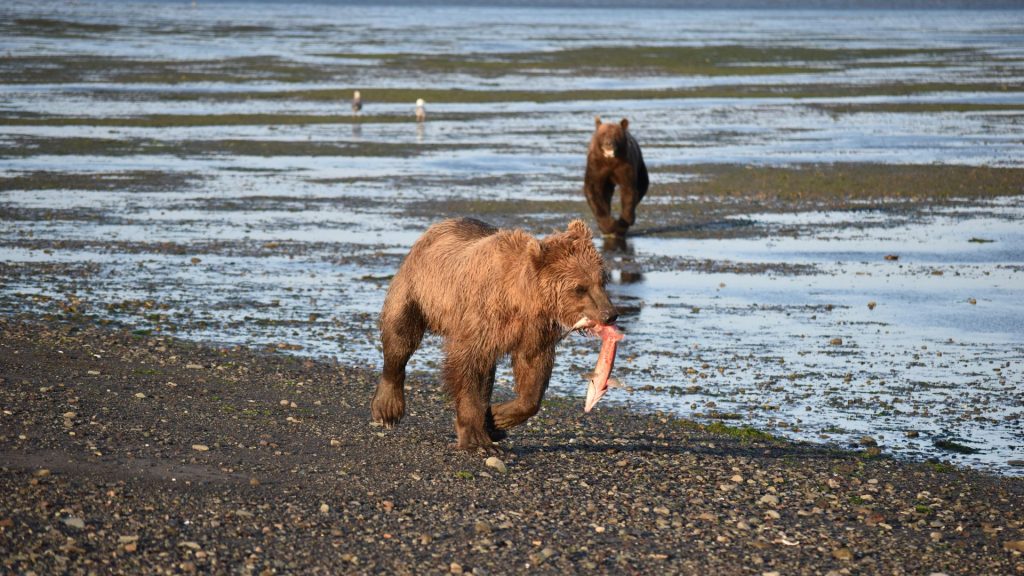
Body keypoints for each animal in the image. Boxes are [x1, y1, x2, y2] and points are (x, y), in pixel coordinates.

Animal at [370, 218, 618, 452]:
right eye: (579, 288)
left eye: (602, 281)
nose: (610, 315)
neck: (521, 299)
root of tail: (433, 229)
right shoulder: (483, 318)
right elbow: (467, 367)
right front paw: (477, 438)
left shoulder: (535, 331)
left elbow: (533, 374)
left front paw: (495, 419)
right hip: (418, 289)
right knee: (400, 336)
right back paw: (387, 407)